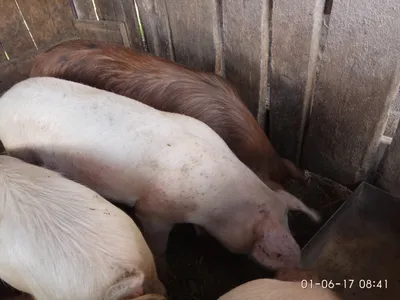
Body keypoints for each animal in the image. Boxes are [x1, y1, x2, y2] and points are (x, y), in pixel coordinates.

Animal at [0, 77, 320, 272]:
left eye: (288, 220)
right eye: (276, 251)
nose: (297, 262)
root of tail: (7, 96)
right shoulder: (153, 211)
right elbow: (158, 246)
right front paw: (166, 268)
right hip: (18, 147)